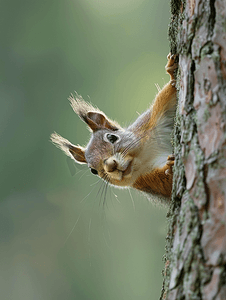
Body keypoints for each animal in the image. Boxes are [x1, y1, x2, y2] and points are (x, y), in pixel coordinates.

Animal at [51, 54, 178, 204]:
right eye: (93, 170)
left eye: (112, 137)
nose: (111, 166)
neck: (143, 157)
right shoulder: (147, 182)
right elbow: (167, 185)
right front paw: (171, 168)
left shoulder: (150, 122)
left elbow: (168, 95)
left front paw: (171, 70)